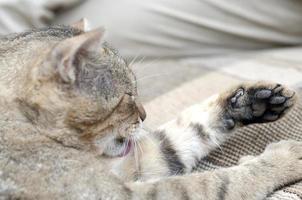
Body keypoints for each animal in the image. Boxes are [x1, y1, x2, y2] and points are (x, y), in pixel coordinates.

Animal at [0, 19, 302, 200]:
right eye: (128, 96)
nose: (144, 115)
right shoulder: (118, 192)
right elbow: (220, 182)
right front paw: (284, 158)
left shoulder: (132, 162)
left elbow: (182, 134)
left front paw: (252, 102)